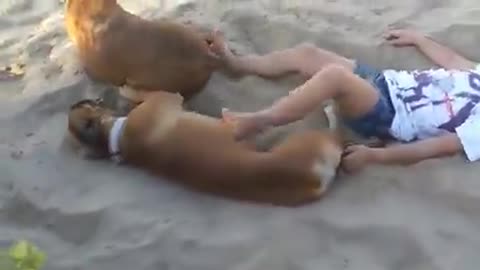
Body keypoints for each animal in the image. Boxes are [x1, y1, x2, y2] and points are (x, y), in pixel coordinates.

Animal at [68, 93, 344, 207]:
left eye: (85, 103)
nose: (79, 100)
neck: (116, 137)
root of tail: (311, 179)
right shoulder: (165, 99)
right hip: (312, 139)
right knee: (333, 131)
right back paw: (330, 110)